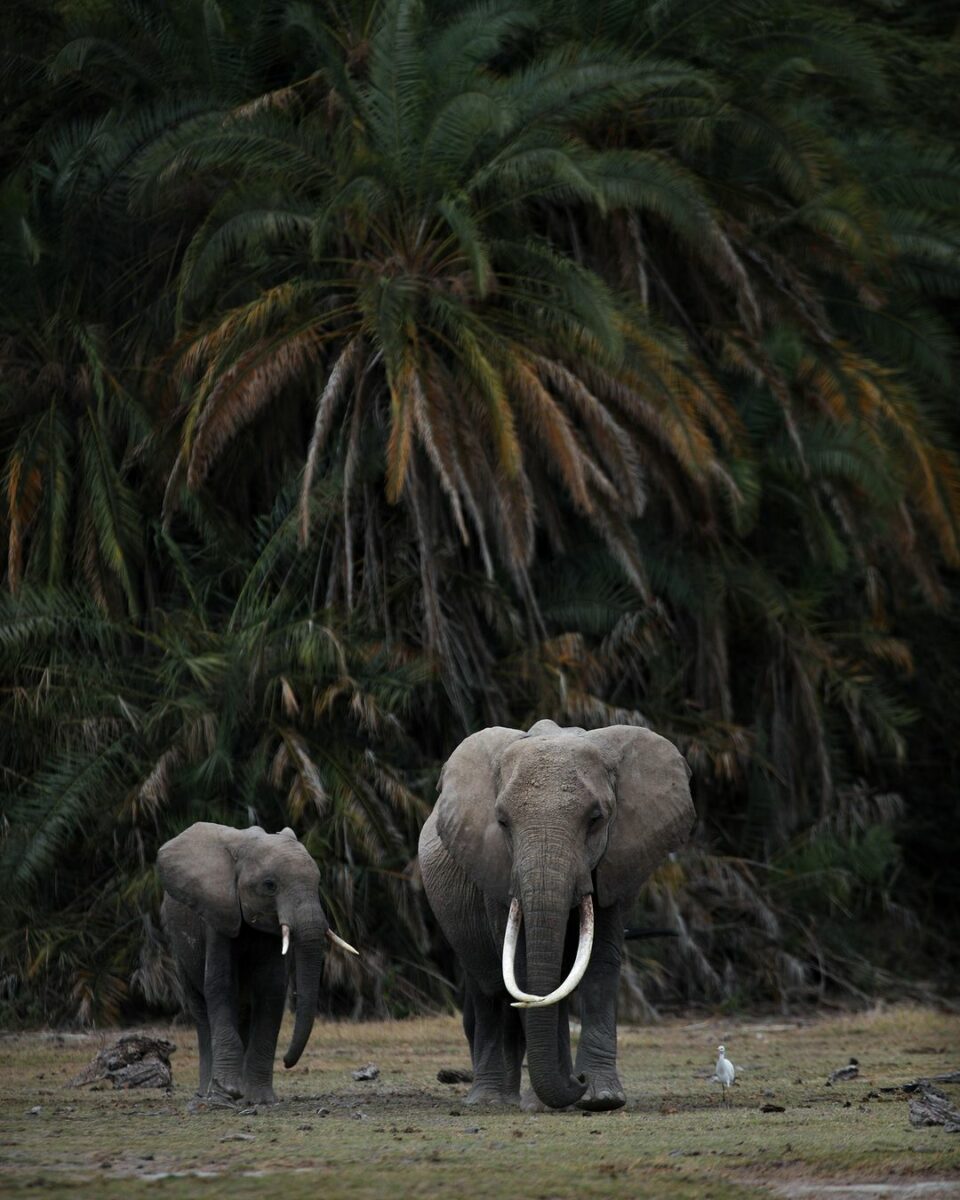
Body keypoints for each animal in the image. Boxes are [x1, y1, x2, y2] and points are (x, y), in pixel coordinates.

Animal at [158, 821, 357, 1105]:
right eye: (269, 885)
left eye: (317, 881)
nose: (287, 1062)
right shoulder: (218, 913)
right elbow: (220, 986)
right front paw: (227, 1091)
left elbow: (270, 990)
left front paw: (260, 1099)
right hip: (176, 942)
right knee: (200, 1010)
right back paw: (207, 1093)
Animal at [418, 720, 694, 1112]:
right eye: (502, 822)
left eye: (596, 819)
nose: (577, 1079)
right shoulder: (495, 868)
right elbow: (522, 967)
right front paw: (553, 1101)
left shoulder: (616, 861)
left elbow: (599, 964)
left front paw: (601, 1098)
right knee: (488, 989)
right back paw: (491, 1101)